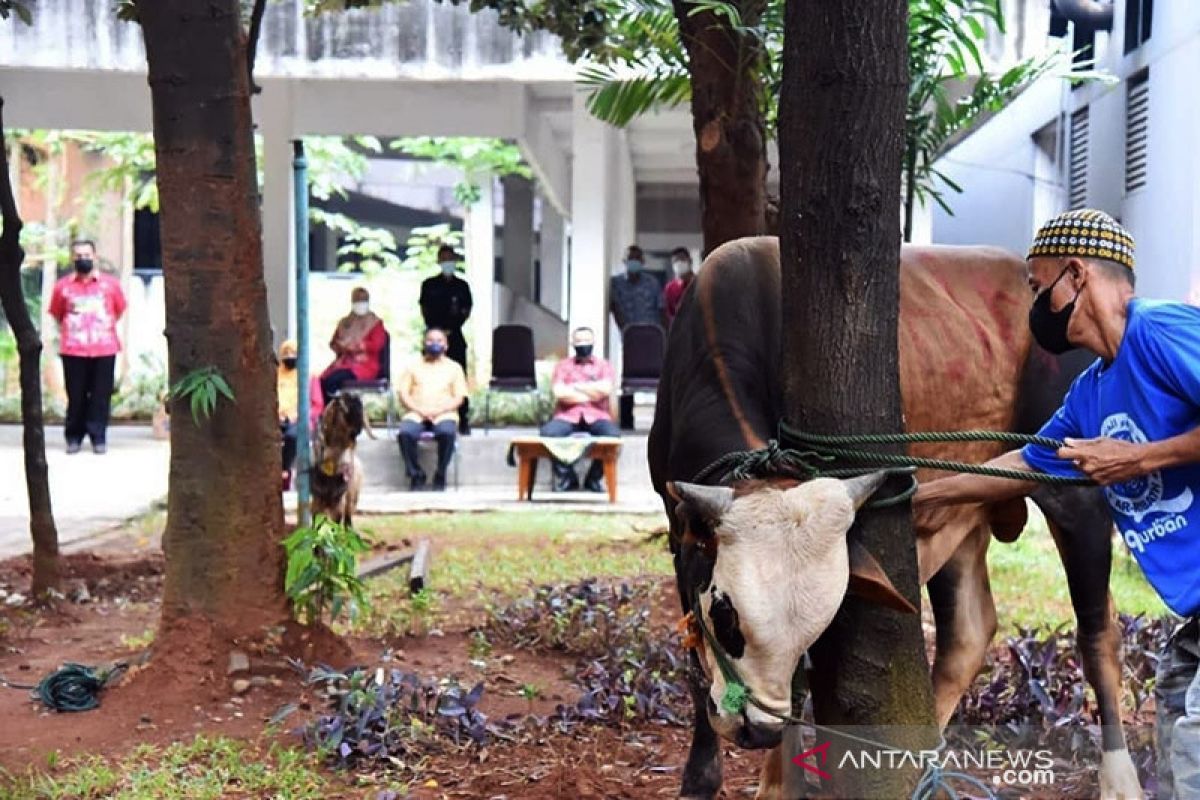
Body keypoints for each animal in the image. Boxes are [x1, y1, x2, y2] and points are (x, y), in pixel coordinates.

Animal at [652, 237, 1137, 800]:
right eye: (727, 613)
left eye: (815, 630)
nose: (758, 729)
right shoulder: (679, 530)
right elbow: (696, 660)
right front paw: (704, 779)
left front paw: (779, 783)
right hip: (964, 514)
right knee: (969, 631)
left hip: (1074, 493)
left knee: (1098, 632)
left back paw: (1120, 777)